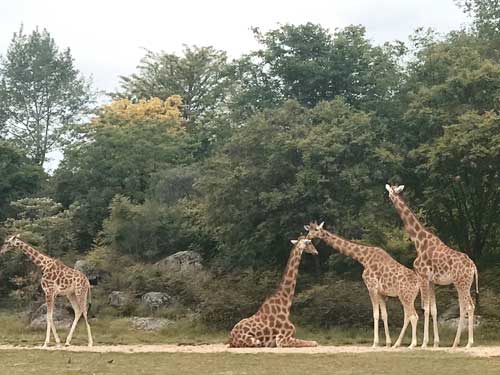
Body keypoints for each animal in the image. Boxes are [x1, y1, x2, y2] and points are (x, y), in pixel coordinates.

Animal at [384, 185, 478, 350]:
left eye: (392, 191)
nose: (389, 196)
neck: (419, 241)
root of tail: (473, 266)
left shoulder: (423, 277)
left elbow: (425, 308)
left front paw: (423, 343)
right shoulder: (432, 281)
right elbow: (434, 309)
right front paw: (435, 343)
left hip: (461, 283)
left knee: (467, 307)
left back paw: (462, 344)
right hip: (466, 283)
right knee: (468, 306)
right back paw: (463, 343)